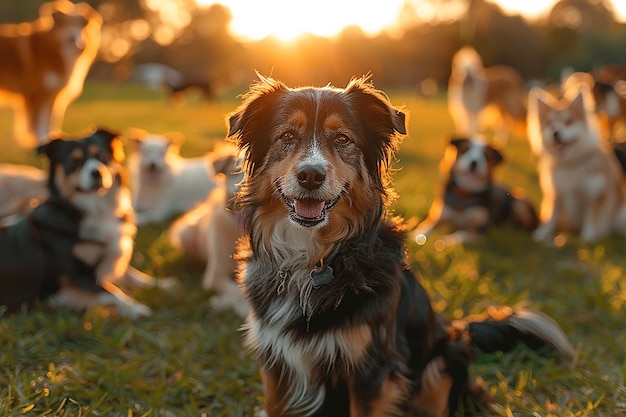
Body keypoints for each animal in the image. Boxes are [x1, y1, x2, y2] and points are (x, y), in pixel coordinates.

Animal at [528, 84, 626, 242]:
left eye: (569, 122)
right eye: (550, 124)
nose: (555, 133)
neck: (570, 164)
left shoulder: (595, 195)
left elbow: (591, 218)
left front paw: (588, 236)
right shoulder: (556, 194)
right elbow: (551, 217)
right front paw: (542, 234)